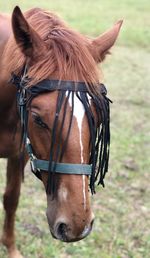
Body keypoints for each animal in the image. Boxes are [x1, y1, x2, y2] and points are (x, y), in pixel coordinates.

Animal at [0, 6, 122, 258]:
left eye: (97, 117)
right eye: (37, 118)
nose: (77, 225)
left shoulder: (21, 154)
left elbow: (11, 198)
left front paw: (11, 247)